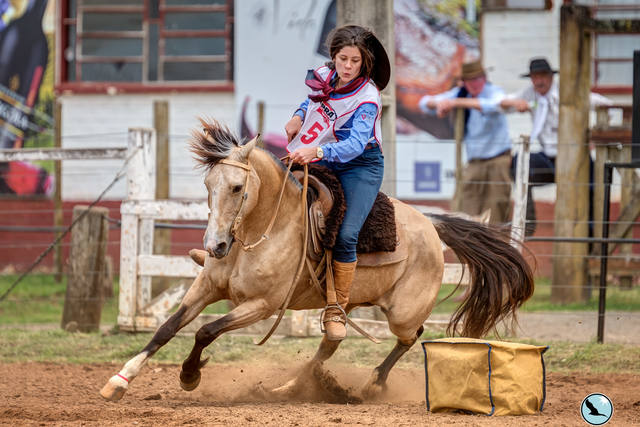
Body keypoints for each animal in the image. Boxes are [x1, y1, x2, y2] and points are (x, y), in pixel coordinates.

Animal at [100, 119, 536, 402]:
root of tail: (431, 223)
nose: (215, 245)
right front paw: (120, 380)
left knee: (412, 336)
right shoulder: (206, 286)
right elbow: (167, 328)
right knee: (330, 343)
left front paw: (190, 375)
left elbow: (206, 331)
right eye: (208, 185)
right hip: (340, 308)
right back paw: (291, 387)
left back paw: (371, 385)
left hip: (402, 312)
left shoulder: (262, 305)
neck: (262, 232)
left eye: (238, 187)